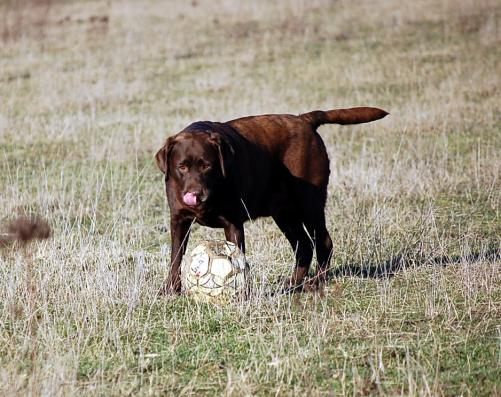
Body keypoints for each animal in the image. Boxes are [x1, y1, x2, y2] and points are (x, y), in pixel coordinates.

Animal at [155, 106, 386, 292]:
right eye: (182, 167)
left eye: (207, 166)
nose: (195, 194)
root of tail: (305, 120)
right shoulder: (178, 220)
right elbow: (176, 257)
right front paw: (170, 290)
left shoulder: (233, 223)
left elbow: (238, 260)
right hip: (284, 212)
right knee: (303, 245)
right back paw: (293, 283)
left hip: (309, 202)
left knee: (323, 241)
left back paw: (317, 282)